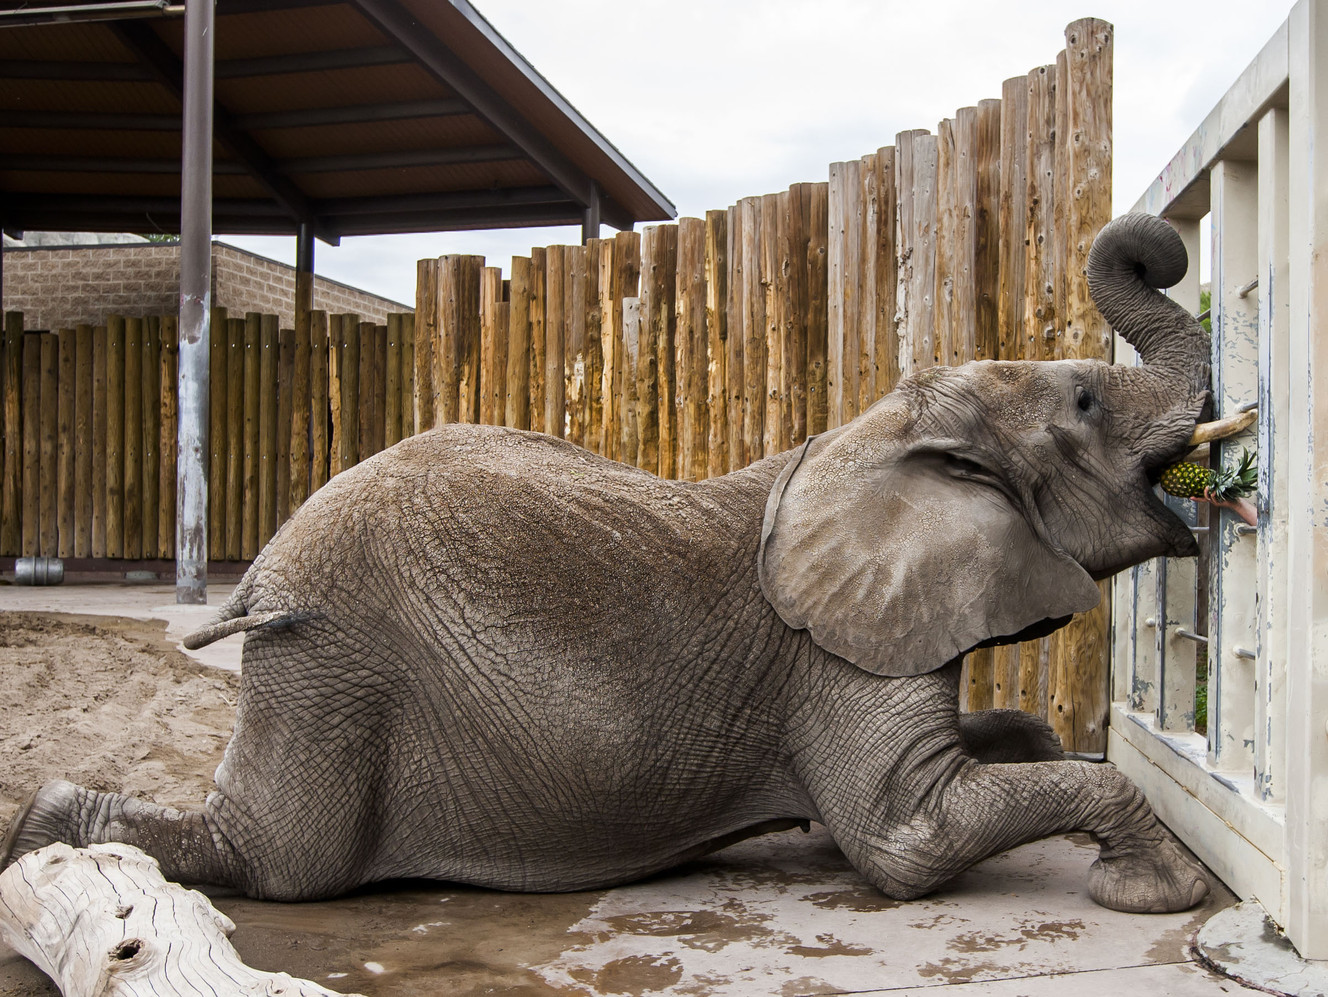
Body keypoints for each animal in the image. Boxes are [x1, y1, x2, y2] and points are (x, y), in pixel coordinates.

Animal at [4, 213, 1223, 914]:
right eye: (1082, 399)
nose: (1164, 244)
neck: (879, 428)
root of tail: (261, 578)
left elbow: (994, 755)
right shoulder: (830, 654)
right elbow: (904, 843)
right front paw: (1156, 889)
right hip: (333, 673)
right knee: (278, 861)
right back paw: (49, 844)